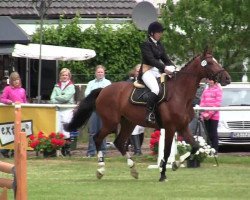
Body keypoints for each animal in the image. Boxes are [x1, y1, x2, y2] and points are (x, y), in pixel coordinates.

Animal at [64, 49, 230, 181]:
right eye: (210, 63)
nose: (227, 78)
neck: (180, 93)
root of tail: (103, 90)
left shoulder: (182, 127)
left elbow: (195, 146)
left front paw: (176, 164)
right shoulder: (170, 127)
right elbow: (166, 151)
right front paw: (163, 174)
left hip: (128, 122)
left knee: (119, 142)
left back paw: (133, 170)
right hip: (111, 123)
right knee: (98, 138)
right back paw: (101, 170)